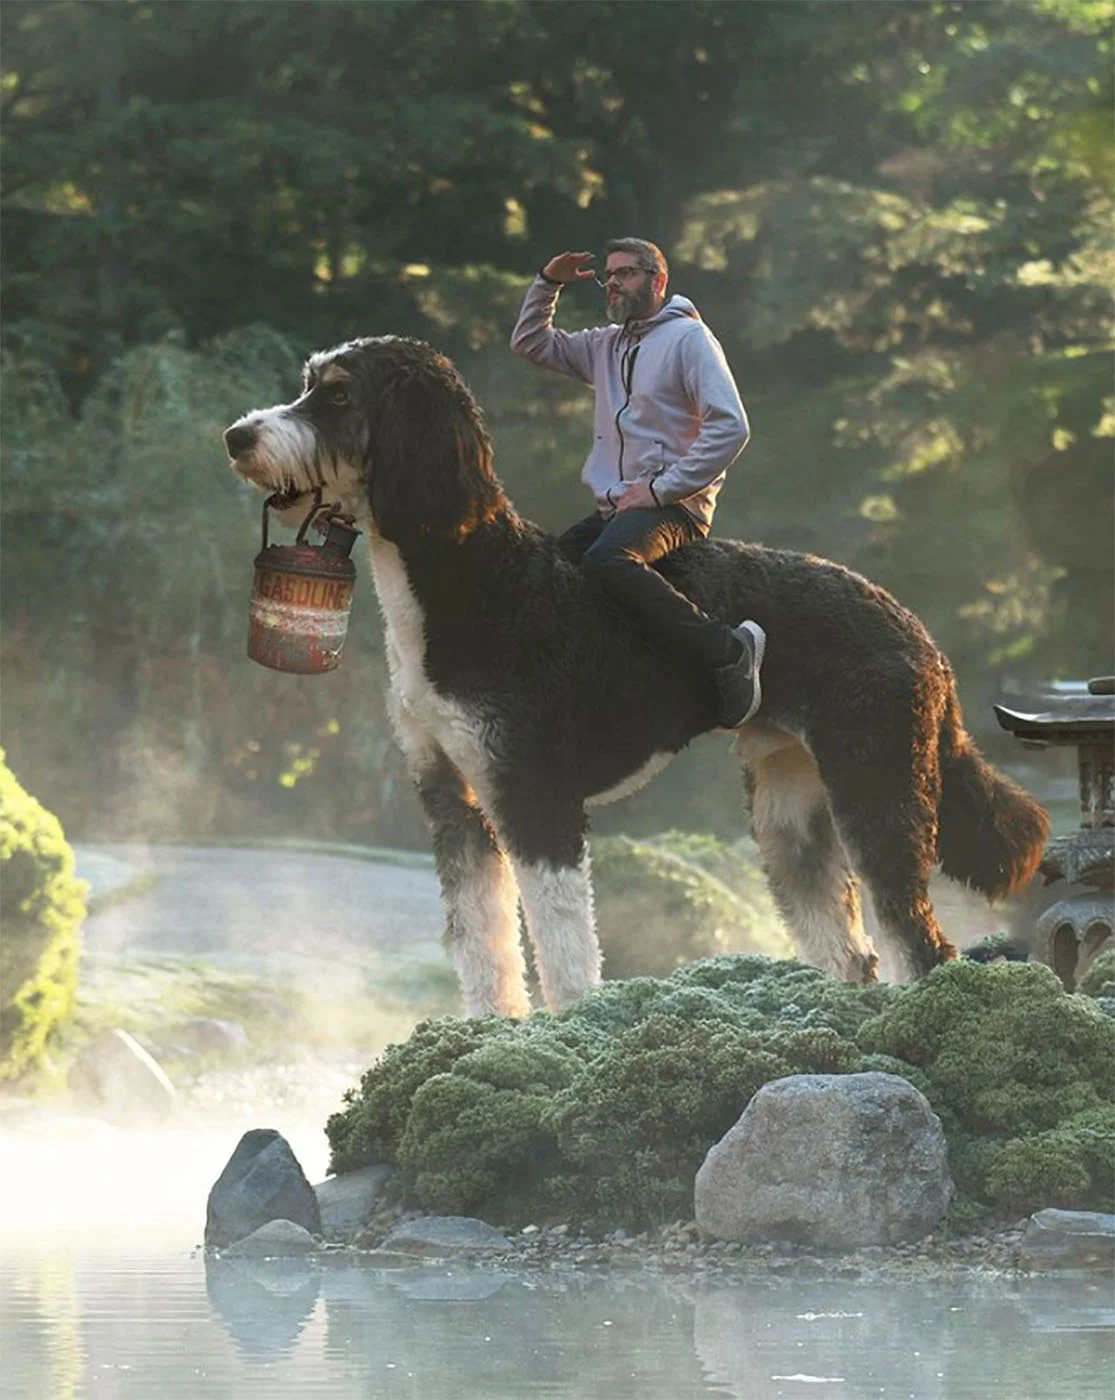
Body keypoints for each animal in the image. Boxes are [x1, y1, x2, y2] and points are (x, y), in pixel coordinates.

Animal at [222, 338, 1047, 1019]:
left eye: (337, 398)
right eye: (309, 384)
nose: (237, 437)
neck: (476, 580)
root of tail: (913, 629)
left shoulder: (535, 799)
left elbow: (562, 946)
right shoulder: (453, 799)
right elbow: (481, 941)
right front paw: (492, 1032)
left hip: (877, 790)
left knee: (920, 944)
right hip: (790, 816)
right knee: (852, 951)